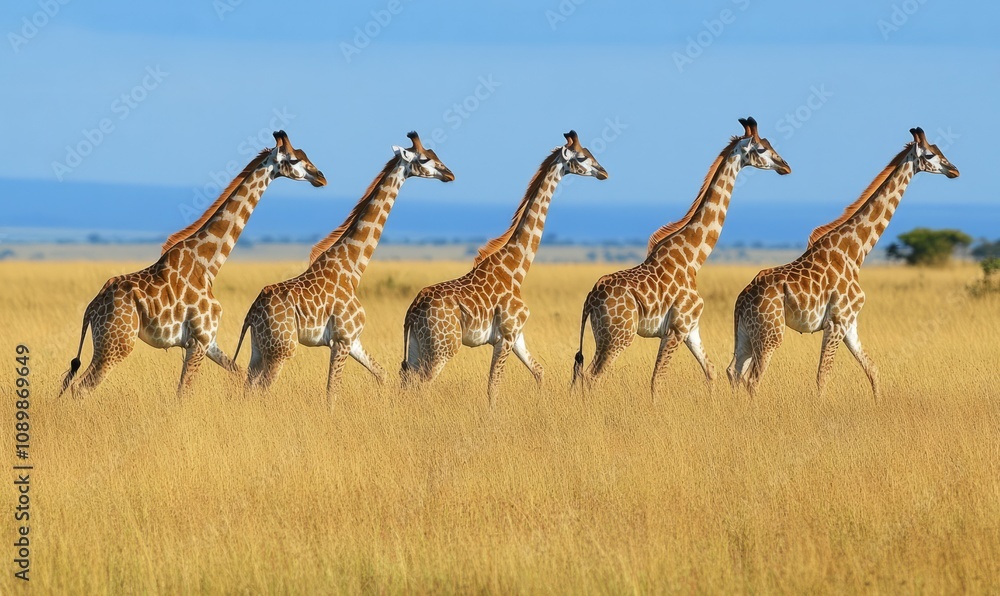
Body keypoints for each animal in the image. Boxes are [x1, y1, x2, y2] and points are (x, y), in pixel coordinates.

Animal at [59, 131, 327, 399]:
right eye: (293, 159)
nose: (321, 177)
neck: (208, 265)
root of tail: (91, 309)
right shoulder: (198, 340)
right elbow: (183, 392)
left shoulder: (209, 340)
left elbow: (238, 373)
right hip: (116, 344)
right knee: (81, 387)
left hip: (105, 344)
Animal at [234, 132, 454, 408]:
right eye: (425, 159)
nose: (450, 174)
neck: (353, 268)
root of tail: (252, 312)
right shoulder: (341, 339)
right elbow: (332, 391)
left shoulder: (354, 339)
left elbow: (381, 374)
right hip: (282, 349)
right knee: (263, 388)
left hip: (259, 347)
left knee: (249, 386)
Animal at [401, 131, 609, 406]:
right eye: (583, 157)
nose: (604, 172)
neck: (516, 268)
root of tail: (413, 311)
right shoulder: (505, 337)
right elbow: (493, 385)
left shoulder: (517, 335)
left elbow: (539, 371)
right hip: (443, 347)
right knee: (422, 384)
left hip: (418, 344)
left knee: (407, 382)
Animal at [571, 117, 792, 398]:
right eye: (762, 149)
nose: (785, 167)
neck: (694, 259)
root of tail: (590, 299)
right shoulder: (675, 329)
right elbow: (657, 380)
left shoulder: (691, 328)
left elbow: (710, 371)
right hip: (618, 335)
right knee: (593, 376)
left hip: (604, 335)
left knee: (582, 373)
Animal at [727, 127, 959, 398]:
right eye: (931, 154)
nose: (954, 170)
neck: (856, 252)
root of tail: (741, 300)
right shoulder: (837, 322)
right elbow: (823, 375)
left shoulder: (851, 323)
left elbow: (873, 369)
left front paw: (878, 402)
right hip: (771, 333)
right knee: (752, 379)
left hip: (746, 332)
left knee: (734, 371)